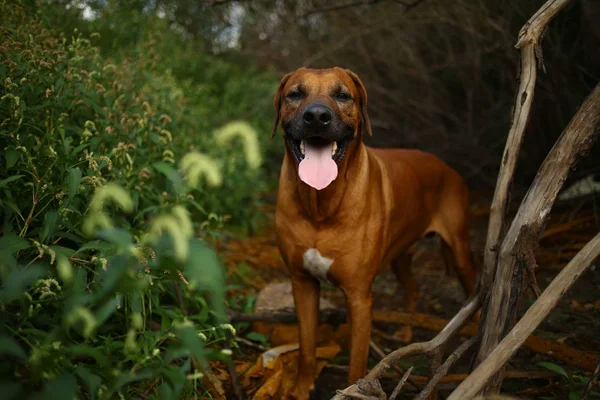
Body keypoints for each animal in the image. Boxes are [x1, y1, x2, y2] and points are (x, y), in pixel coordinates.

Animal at [274, 67, 478, 398]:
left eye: (343, 95)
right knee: (413, 287)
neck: (321, 205)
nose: (317, 116)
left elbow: (357, 364)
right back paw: (407, 330)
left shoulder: (359, 297)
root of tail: (447, 166)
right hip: (400, 255)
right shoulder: (301, 283)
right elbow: (306, 348)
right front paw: (301, 389)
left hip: (459, 250)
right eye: (295, 94)